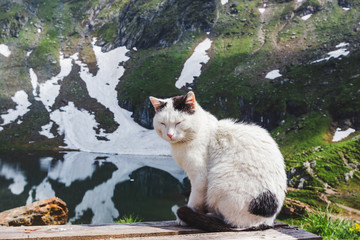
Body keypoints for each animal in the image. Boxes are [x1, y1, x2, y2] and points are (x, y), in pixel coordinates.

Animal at [149, 91, 286, 232]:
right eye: (163, 123)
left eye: (178, 122)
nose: (169, 134)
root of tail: (265, 222)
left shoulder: (200, 177)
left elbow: (194, 200)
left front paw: (184, 218)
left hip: (220, 182)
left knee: (232, 223)